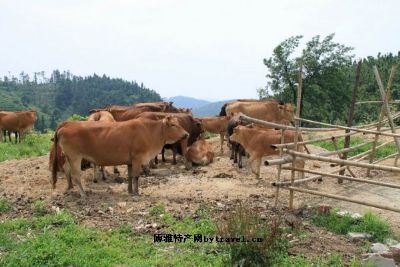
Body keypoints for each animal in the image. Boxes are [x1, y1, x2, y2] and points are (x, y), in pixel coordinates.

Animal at [52, 116, 189, 198]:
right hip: (75, 157)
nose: (186, 134)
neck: (150, 132)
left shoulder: (130, 161)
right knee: (76, 176)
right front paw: (136, 193)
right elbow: (136, 176)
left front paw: (130, 191)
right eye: (173, 125)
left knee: (67, 170)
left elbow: (129, 176)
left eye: (178, 123)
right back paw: (83, 194)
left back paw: (70, 188)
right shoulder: (137, 158)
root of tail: (67, 124)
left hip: (69, 157)